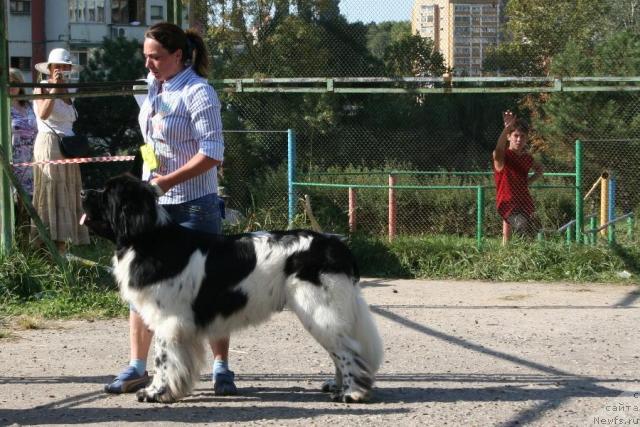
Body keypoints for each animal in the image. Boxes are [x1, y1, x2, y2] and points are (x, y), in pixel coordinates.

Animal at [79, 174, 380, 404]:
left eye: (107, 193)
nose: (82, 191)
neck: (150, 239)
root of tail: (335, 244)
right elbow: (178, 362)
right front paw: (172, 390)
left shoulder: (168, 321)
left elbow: (162, 360)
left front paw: (154, 393)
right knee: (341, 350)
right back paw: (337, 385)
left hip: (319, 310)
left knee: (349, 351)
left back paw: (352, 393)